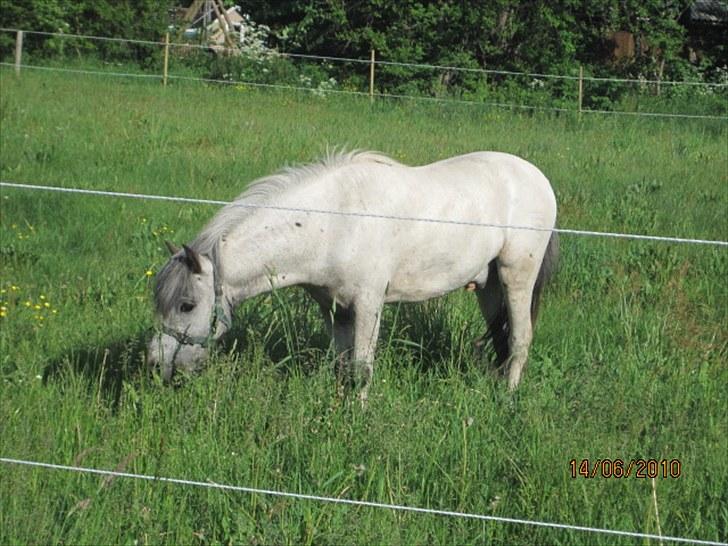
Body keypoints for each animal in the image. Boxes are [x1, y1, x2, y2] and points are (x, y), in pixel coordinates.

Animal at [147, 150, 559, 400]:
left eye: (186, 305)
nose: (154, 363)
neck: (332, 222)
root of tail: (537, 177)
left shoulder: (368, 304)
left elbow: (361, 367)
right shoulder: (336, 310)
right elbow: (342, 365)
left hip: (516, 278)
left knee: (520, 339)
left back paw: (507, 397)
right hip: (488, 287)